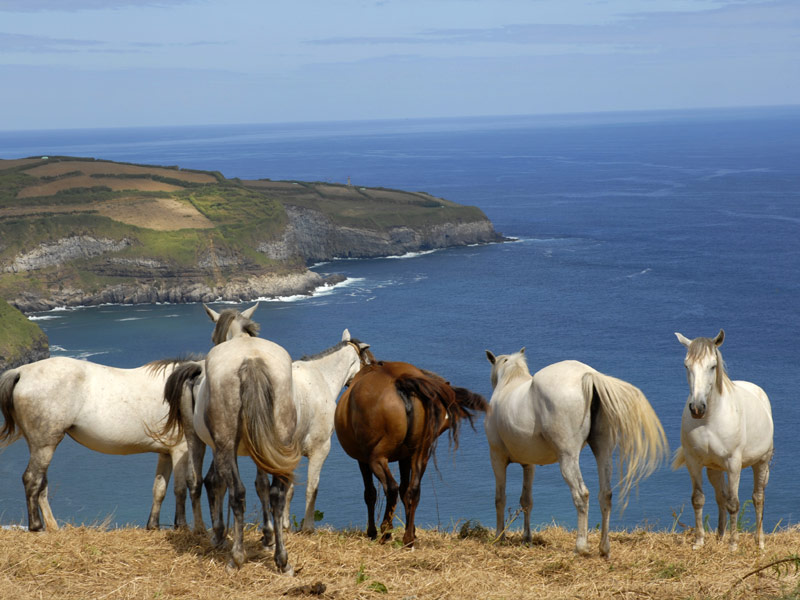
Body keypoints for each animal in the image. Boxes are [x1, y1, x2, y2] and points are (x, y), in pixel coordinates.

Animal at [0, 356, 205, 528]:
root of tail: (20, 372)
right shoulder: (180, 450)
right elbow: (180, 489)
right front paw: (182, 527)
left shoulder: (165, 452)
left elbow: (159, 489)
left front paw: (153, 526)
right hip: (45, 445)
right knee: (31, 479)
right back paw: (36, 526)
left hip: (37, 445)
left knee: (41, 483)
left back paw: (52, 527)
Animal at [332, 360, 484, 548]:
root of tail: (399, 381)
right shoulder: (405, 458)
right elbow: (405, 491)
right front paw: (412, 531)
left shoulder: (363, 460)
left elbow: (370, 493)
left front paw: (372, 531)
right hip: (419, 455)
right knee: (413, 489)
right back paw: (408, 538)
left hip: (376, 458)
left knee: (391, 488)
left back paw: (385, 532)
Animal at [484, 350, 664, 556]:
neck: (510, 383)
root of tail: (589, 377)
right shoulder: (529, 464)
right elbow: (526, 500)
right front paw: (526, 539)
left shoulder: (497, 457)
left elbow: (500, 499)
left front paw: (499, 537)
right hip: (603, 451)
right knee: (606, 493)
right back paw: (604, 547)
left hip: (568, 457)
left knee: (581, 494)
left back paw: (581, 547)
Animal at [672, 330, 772, 552]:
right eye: (686, 365)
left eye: (712, 366)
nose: (697, 408)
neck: (710, 419)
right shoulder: (694, 461)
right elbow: (698, 499)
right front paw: (699, 541)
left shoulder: (733, 463)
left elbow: (734, 503)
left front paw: (733, 544)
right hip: (714, 469)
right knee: (721, 496)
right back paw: (719, 536)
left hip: (761, 462)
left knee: (758, 497)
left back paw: (760, 541)